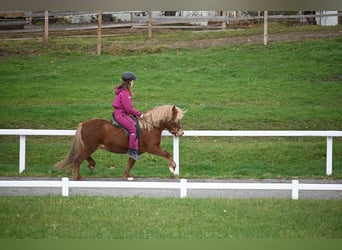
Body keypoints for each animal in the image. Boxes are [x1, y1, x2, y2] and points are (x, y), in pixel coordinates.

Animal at [55, 104, 186, 181]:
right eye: (175, 120)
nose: (181, 132)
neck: (149, 127)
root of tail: (83, 124)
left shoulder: (136, 151)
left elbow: (130, 163)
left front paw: (126, 176)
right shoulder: (152, 148)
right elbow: (167, 154)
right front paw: (173, 167)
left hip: (89, 147)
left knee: (82, 157)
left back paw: (91, 164)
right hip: (90, 147)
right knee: (77, 159)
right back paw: (78, 177)